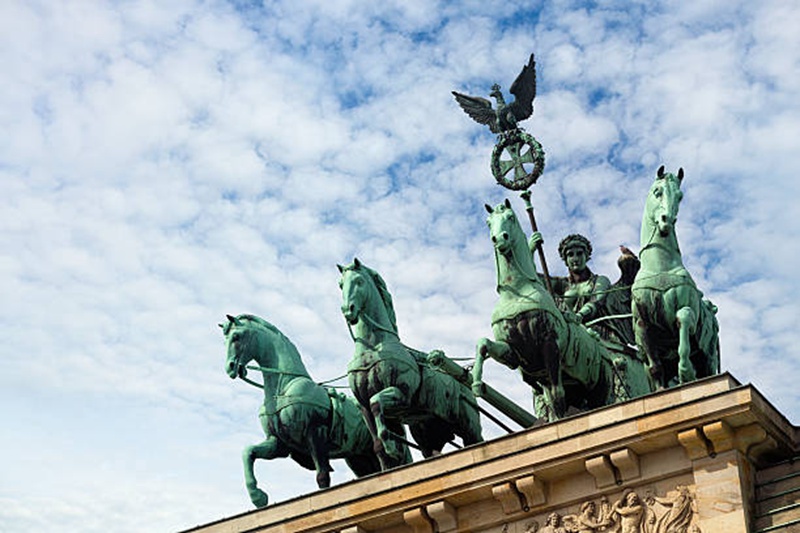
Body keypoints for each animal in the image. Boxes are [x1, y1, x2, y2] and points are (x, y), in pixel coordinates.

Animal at [220, 314, 380, 504]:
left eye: (236, 337)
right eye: (224, 341)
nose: (230, 367)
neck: (282, 388)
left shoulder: (315, 433)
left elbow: (322, 476)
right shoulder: (279, 443)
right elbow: (248, 452)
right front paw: (258, 496)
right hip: (358, 458)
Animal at [336, 258, 482, 470]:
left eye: (359, 281)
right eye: (341, 285)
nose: (348, 310)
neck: (372, 349)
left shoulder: (401, 394)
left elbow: (376, 403)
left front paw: (391, 446)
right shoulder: (363, 407)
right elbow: (377, 444)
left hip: (470, 427)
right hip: (427, 435)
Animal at [476, 200, 648, 420]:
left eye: (510, 217)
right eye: (488, 222)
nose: (499, 239)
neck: (517, 292)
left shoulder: (551, 346)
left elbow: (558, 395)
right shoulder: (514, 352)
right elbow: (483, 345)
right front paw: (476, 384)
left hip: (603, 386)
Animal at [636, 166, 720, 386]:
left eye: (680, 197)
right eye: (657, 191)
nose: (668, 220)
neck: (660, 267)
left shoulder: (686, 311)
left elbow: (683, 319)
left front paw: (685, 371)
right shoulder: (643, 325)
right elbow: (655, 368)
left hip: (708, 357)